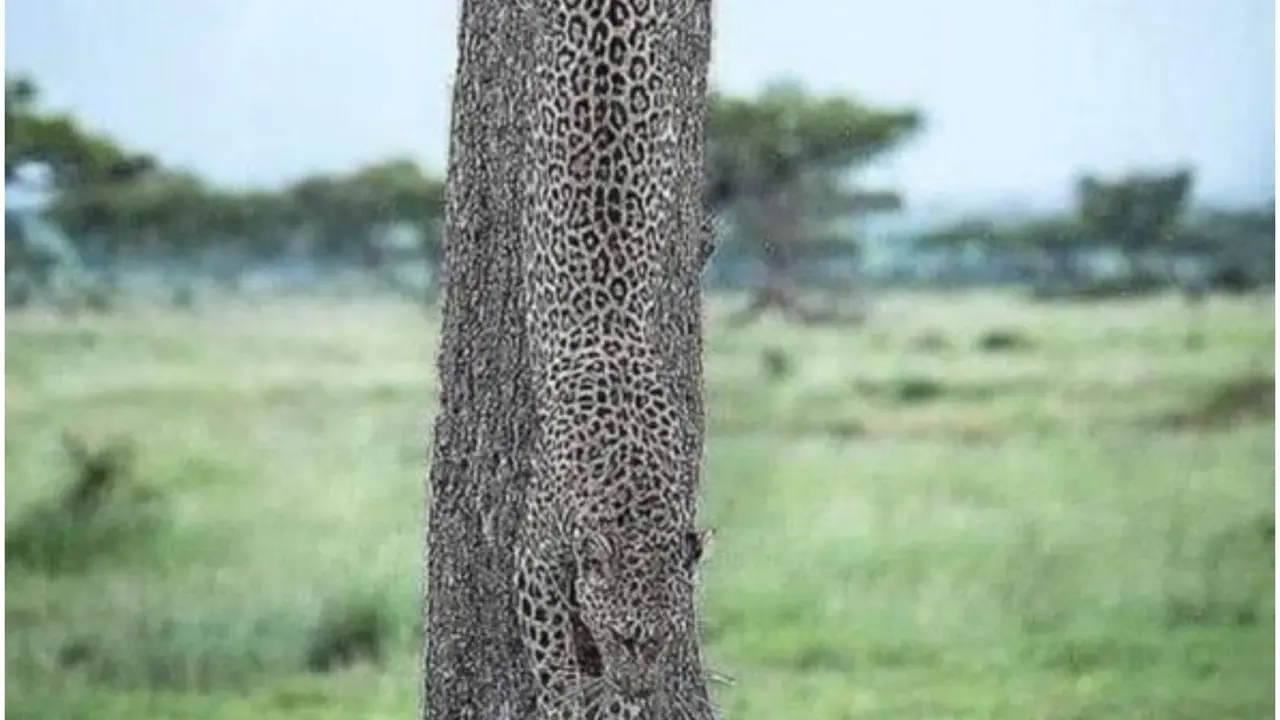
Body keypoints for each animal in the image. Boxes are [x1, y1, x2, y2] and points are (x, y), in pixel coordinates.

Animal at [511, 0, 713, 717]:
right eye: (624, 636)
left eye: (669, 636)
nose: (639, 684)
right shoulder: (536, 552)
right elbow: (547, 644)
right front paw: (566, 698)